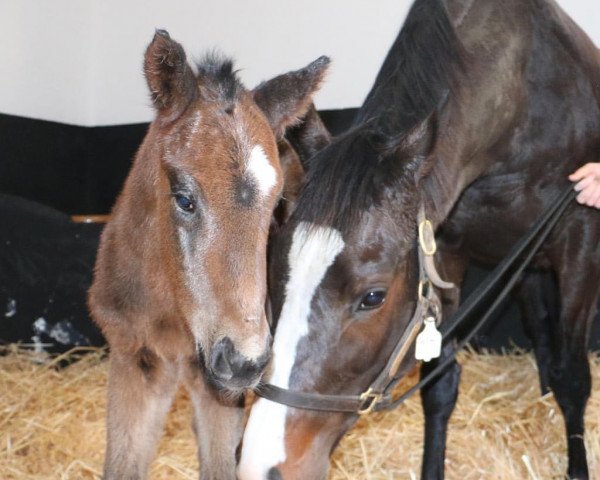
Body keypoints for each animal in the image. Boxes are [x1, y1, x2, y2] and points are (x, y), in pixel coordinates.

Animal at [239, 1, 600, 478]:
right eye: (274, 277)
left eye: (372, 297)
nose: (262, 463)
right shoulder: (446, 250)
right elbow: (440, 386)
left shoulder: (580, 241)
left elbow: (573, 377)